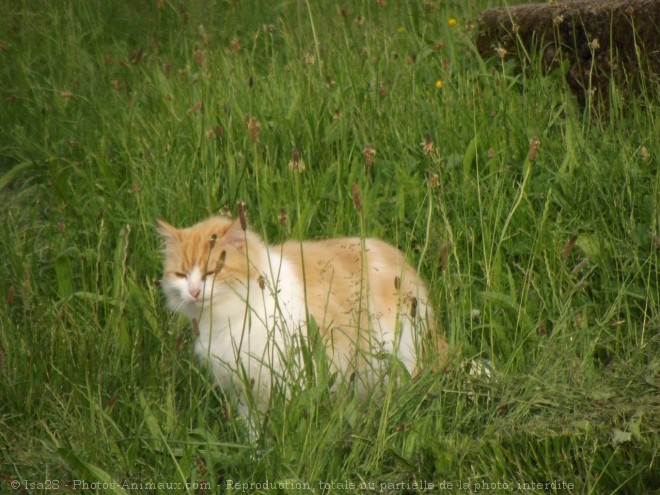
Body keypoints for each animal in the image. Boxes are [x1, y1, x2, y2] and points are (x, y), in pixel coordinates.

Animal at [157, 215, 446, 428]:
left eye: (211, 271)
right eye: (182, 275)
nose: (194, 292)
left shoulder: (288, 379)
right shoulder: (246, 391)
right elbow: (254, 431)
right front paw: (256, 455)